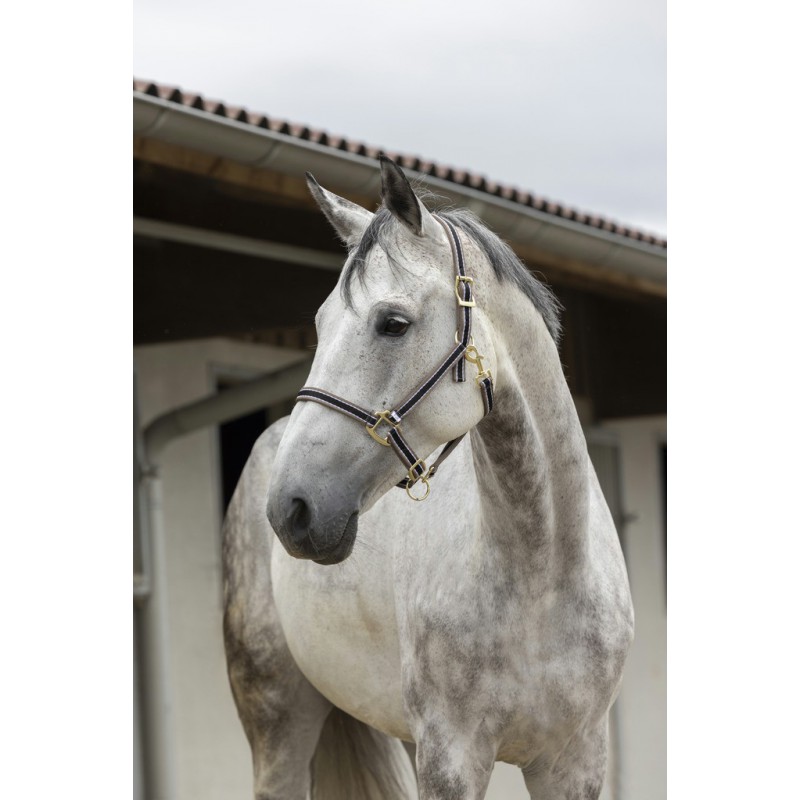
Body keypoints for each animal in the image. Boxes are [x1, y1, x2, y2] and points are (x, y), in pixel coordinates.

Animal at [222, 156, 634, 800]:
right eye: (319, 324)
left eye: (393, 323)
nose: (292, 508)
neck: (544, 577)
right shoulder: (452, 756)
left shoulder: (575, 760)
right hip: (277, 722)